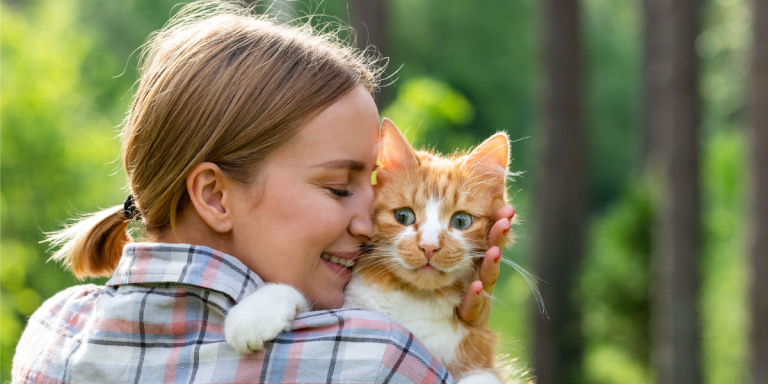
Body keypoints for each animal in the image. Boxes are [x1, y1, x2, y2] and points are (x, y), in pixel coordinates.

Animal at [226, 119, 528, 384]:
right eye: (404, 216)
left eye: (461, 221)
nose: (429, 246)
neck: (413, 299)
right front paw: (254, 313)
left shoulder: (478, 352)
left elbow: (481, 376)